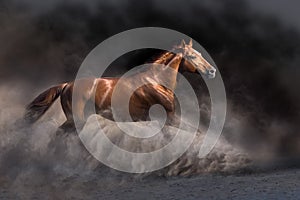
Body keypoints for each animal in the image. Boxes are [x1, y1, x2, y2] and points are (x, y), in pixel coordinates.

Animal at [23, 39, 216, 132]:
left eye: (199, 53)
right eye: (192, 56)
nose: (212, 71)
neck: (156, 80)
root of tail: (67, 85)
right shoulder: (170, 118)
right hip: (76, 119)